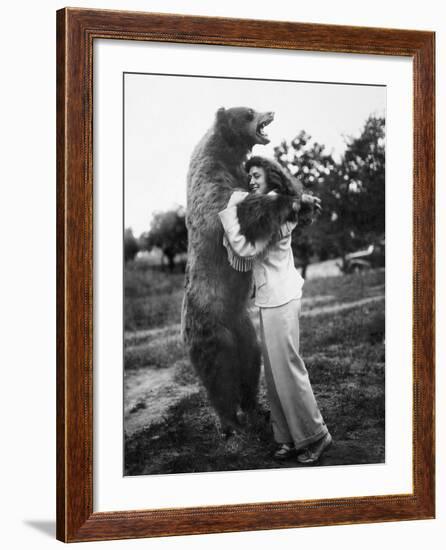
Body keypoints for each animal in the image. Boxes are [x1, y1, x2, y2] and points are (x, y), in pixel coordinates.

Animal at [182, 106, 304, 436]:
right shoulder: (211, 186)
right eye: (248, 112)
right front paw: (288, 199)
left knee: (251, 360)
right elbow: (236, 211)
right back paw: (230, 422)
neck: (225, 152)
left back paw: (255, 409)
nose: (270, 111)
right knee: (219, 375)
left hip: (243, 325)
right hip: (212, 328)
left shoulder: (236, 173)